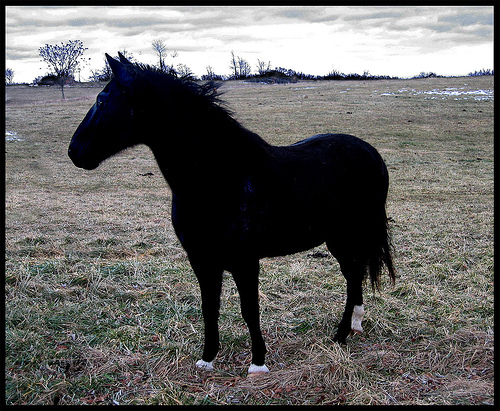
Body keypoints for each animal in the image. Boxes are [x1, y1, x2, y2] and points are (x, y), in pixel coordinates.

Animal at [68, 53, 395, 374]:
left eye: (102, 100)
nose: (74, 151)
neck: (221, 179)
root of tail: (371, 153)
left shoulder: (244, 261)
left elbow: (249, 309)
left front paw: (258, 363)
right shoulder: (202, 259)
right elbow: (209, 307)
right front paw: (208, 358)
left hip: (346, 236)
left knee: (353, 275)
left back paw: (341, 333)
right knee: (354, 275)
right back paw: (353, 326)